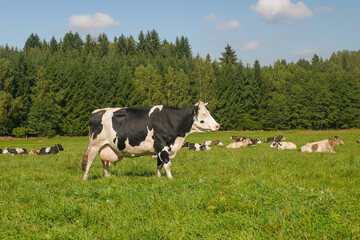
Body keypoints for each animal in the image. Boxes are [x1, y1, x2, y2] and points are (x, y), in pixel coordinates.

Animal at [82, 100, 221, 180]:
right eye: (203, 114)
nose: (217, 125)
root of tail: (96, 111)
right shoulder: (162, 145)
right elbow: (167, 164)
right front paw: (171, 179)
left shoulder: (160, 148)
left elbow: (159, 164)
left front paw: (159, 178)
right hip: (95, 144)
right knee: (89, 161)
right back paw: (85, 178)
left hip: (105, 146)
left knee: (104, 162)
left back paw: (107, 176)